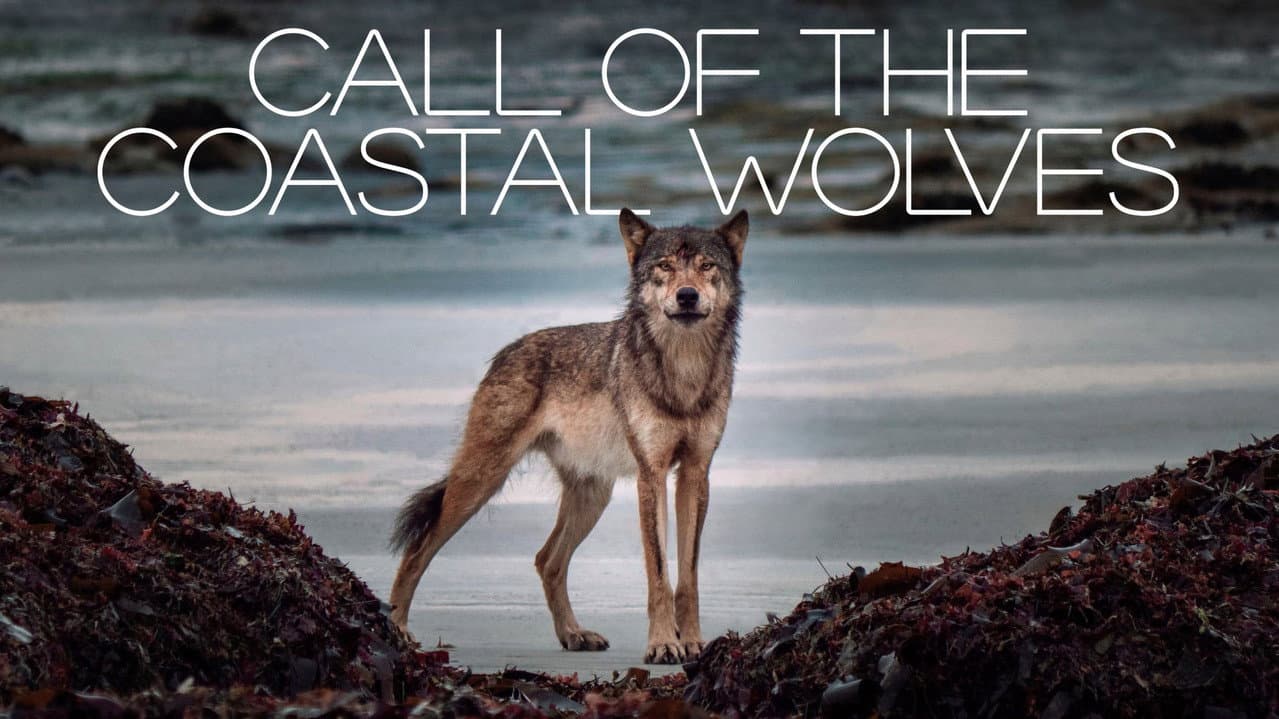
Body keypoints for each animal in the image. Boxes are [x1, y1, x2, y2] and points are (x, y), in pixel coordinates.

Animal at [388, 209, 747, 664]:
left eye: (706, 266)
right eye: (665, 266)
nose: (686, 296)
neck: (684, 370)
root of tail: (505, 352)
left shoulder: (695, 474)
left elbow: (688, 577)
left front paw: (694, 642)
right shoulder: (651, 475)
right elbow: (659, 576)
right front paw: (664, 643)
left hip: (592, 497)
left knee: (547, 560)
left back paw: (574, 634)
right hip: (480, 483)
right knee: (417, 551)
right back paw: (396, 630)